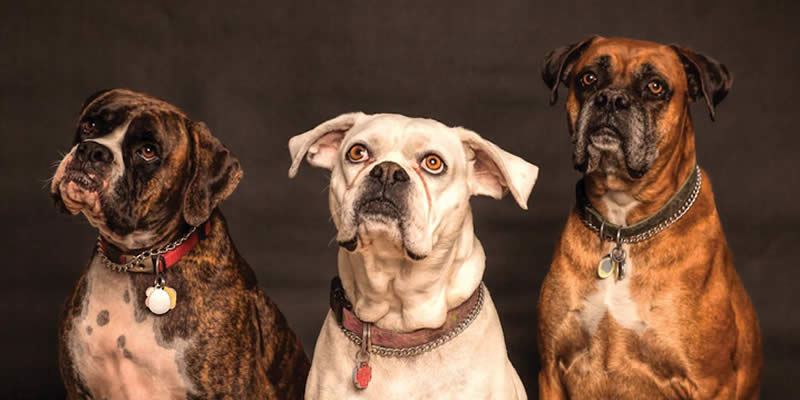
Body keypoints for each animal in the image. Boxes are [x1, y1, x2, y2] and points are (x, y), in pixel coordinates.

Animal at [536, 36, 764, 396]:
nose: (611, 100)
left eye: (655, 86)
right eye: (588, 78)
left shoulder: (710, 384)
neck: (622, 225)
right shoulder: (551, 371)